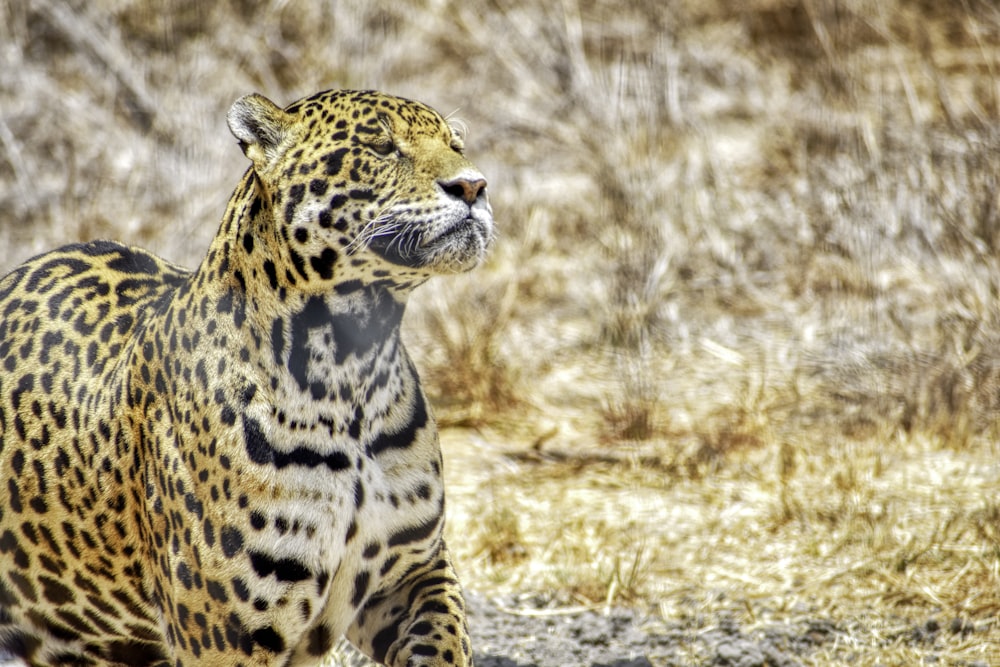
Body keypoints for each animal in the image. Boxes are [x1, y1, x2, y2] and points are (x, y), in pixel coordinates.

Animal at [0, 90, 494, 667]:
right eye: (380, 146)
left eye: (455, 143)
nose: (474, 185)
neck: (354, 365)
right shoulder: (227, 635)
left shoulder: (414, 570)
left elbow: (444, 638)